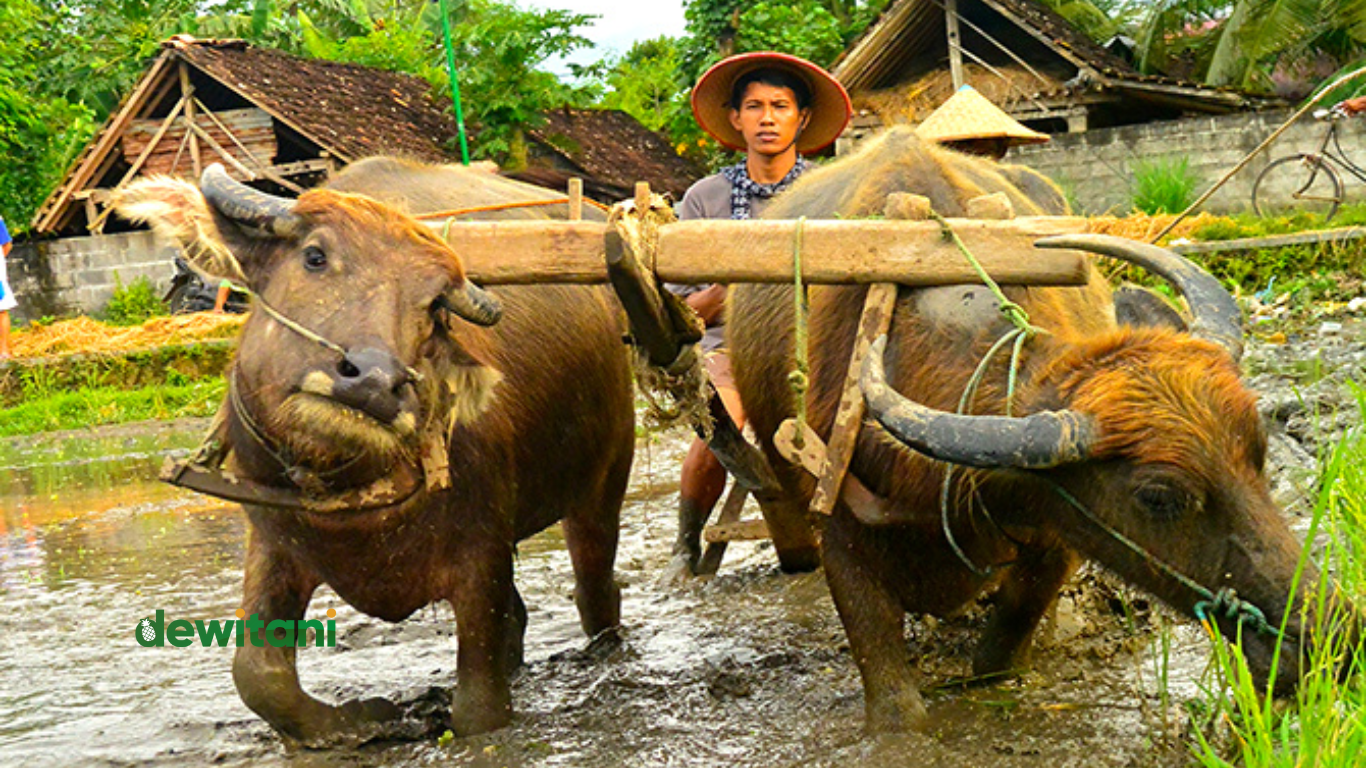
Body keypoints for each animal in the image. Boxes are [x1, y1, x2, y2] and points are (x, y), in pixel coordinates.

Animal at [116, 159, 628, 743]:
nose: (374, 381)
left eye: (434, 306)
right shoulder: (272, 540)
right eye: (314, 255)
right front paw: (361, 718)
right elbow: (259, 676)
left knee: (595, 591)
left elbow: (480, 708)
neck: (347, 482)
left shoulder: (481, 552)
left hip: (605, 481)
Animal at [732, 128, 1349, 732]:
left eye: (1259, 453)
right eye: (1158, 497)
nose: (1330, 636)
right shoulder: (837, 534)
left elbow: (1000, 653)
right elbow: (892, 699)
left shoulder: (1055, 539)